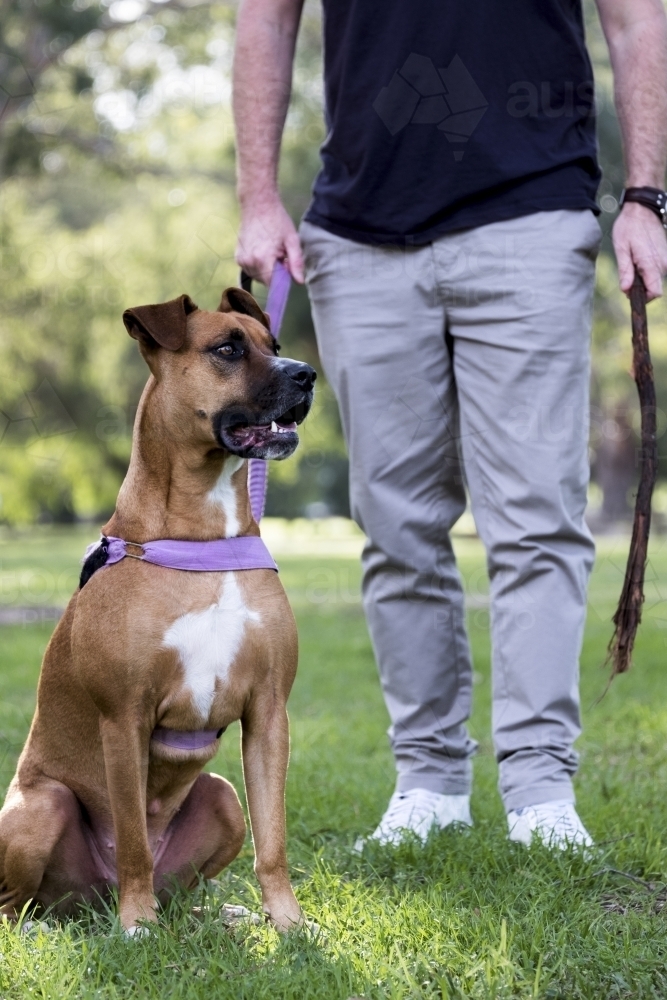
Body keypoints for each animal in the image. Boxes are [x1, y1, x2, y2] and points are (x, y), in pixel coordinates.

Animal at [0, 286, 316, 932]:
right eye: (227, 349)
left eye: (273, 344)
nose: (306, 374)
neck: (202, 535)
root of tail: (89, 903)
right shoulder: (124, 718)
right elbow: (133, 843)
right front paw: (137, 926)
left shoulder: (269, 715)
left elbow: (272, 844)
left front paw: (289, 925)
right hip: (42, 807)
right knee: (19, 904)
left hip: (222, 797)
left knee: (188, 881)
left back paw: (211, 917)